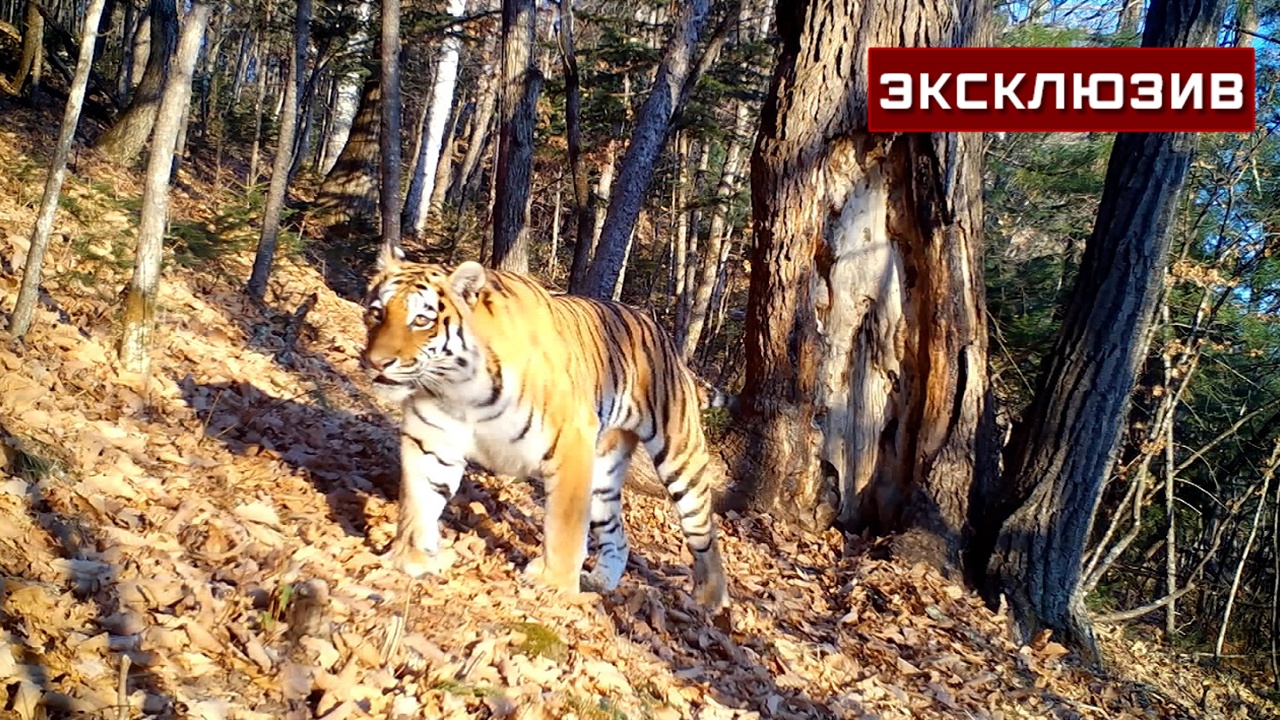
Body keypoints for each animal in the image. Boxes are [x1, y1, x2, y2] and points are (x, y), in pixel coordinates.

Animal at [357, 244, 729, 612]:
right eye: (377, 313)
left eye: (421, 320)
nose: (376, 362)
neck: (459, 389)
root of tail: (661, 334)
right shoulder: (431, 438)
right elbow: (420, 498)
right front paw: (411, 558)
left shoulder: (571, 442)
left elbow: (563, 527)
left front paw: (554, 584)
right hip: (604, 471)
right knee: (617, 535)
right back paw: (600, 582)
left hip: (680, 460)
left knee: (704, 533)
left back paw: (710, 599)